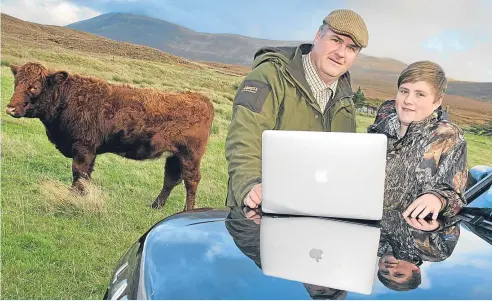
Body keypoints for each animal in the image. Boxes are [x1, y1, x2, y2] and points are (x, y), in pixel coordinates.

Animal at [4, 61, 214, 210]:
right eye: (16, 83)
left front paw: (73, 197)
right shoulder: (90, 151)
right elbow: (86, 175)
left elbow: (79, 173)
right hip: (173, 157)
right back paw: (155, 206)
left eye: (34, 87)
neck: (68, 96)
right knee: (170, 180)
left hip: (189, 156)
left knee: (191, 181)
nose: (10, 108)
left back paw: (187, 210)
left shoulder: (83, 148)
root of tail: (201, 99)